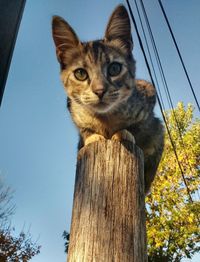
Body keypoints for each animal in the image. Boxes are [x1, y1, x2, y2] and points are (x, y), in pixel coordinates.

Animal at [51, 4, 164, 192]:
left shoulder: (148, 91)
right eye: (80, 73)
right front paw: (92, 136)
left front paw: (124, 132)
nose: (99, 90)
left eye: (114, 68)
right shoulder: (72, 107)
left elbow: (138, 125)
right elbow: (84, 128)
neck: (105, 118)